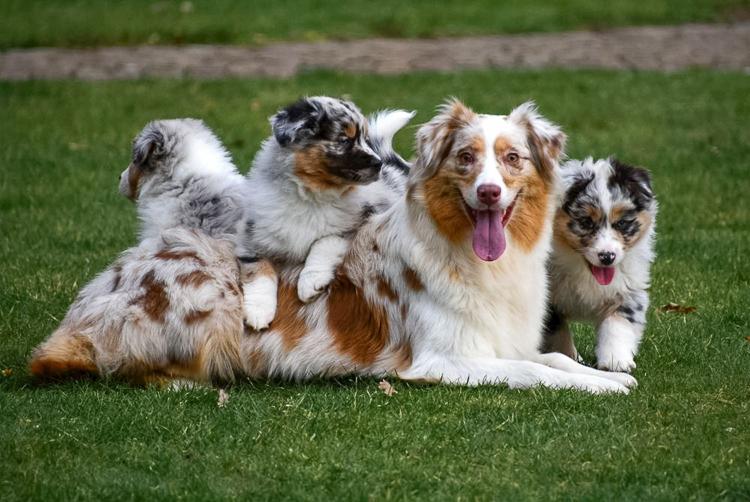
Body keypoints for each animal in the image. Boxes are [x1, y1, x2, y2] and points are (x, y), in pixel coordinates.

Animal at [239, 96, 414, 332]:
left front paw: (310, 283)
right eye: (344, 140)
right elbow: (258, 269)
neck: (311, 197)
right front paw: (258, 311)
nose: (378, 163)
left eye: (365, 139)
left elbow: (324, 241)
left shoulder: (360, 221)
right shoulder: (250, 239)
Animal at [544, 157, 660, 372]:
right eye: (586, 222)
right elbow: (557, 334)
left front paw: (616, 361)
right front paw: (568, 359)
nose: (607, 257)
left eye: (621, 223)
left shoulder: (628, 288)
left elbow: (618, 324)